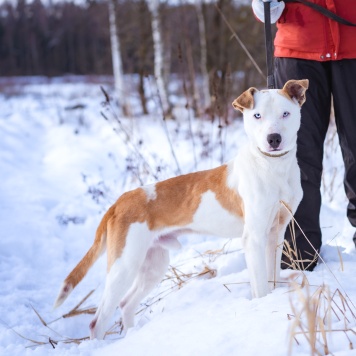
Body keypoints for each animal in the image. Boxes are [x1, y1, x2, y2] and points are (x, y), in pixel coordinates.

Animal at [54, 78, 308, 340]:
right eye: (257, 115)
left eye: (285, 113)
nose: (273, 138)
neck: (273, 167)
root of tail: (118, 202)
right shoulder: (254, 237)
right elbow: (260, 285)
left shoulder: (275, 233)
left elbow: (272, 277)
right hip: (124, 265)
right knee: (98, 320)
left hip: (153, 264)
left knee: (126, 304)